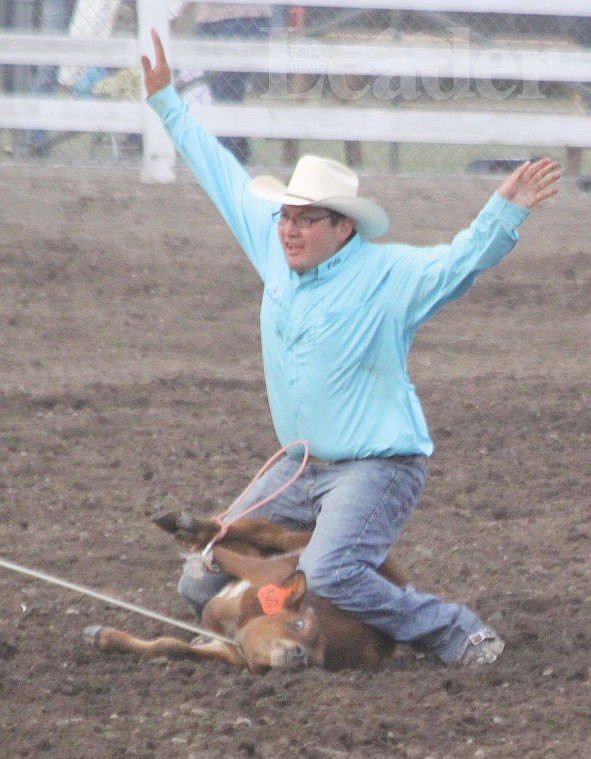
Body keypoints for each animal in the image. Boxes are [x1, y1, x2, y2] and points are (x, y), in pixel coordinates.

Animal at [85, 516, 410, 672]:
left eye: (316, 662)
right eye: (299, 623)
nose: (299, 656)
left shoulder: (233, 653)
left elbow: (174, 647)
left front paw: (103, 636)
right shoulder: (266, 572)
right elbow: (223, 553)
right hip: (292, 547)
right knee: (265, 530)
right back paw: (195, 527)